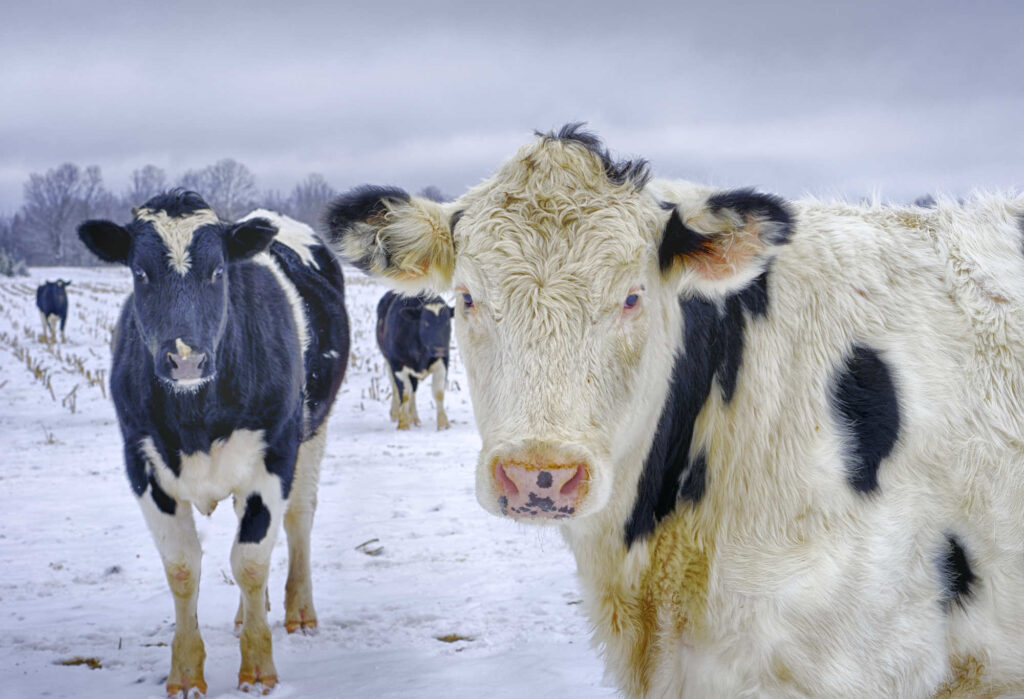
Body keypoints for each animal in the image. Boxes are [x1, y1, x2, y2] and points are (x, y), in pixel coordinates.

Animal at [77, 192, 349, 696]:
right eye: (139, 272)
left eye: (218, 271)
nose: (185, 359)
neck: (195, 420)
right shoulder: (142, 465)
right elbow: (183, 567)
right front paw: (185, 673)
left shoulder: (272, 459)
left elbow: (250, 561)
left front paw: (258, 670)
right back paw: (247, 615)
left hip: (312, 433)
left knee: (298, 519)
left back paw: (299, 612)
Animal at [375, 290, 452, 430]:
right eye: (425, 323)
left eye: (447, 323)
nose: (439, 349)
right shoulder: (397, 364)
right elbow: (405, 393)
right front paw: (403, 423)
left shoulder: (442, 362)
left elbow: (438, 393)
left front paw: (443, 424)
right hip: (388, 362)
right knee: (398, 388)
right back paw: (396, 413)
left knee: (413, 391)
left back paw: (414, 418)